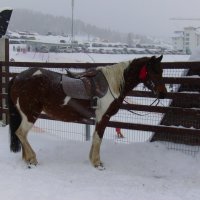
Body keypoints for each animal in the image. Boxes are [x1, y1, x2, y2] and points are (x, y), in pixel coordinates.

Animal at [7, 55, 166, 170]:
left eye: (162, 71)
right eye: (154, 71)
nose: (163, 94)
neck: (111, 85)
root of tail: (17, 77)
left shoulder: (98, 118)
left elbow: (95, 138)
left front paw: (92, 159)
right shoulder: (103, 117)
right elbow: (98, 139)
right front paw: (97, 163)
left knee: (22, 135)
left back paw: (27, 159)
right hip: (30, 114)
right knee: (20, 133)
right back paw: (32, 159)